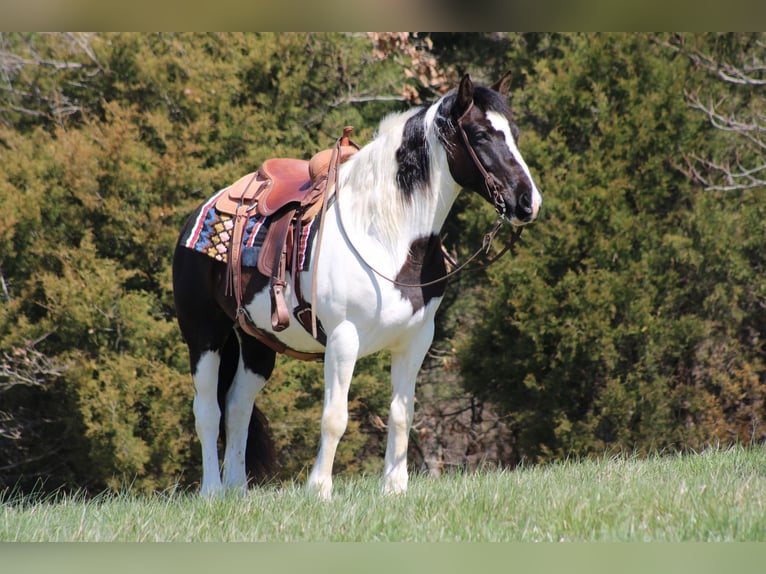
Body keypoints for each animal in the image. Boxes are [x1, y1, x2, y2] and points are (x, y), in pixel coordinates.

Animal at [174, 74, 544, 502]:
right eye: (482, 134)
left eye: (514, 133)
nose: (528, 202)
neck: (384, 236)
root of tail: (203, 210)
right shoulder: (343, 338)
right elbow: (335, 417)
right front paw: (319, 489)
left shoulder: (416, 340)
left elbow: (402, 414)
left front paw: (395, 487)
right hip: (204, 335)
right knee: (208, 411)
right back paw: (212, 491)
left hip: (256, 343)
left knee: (237, 409)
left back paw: (237, 491)